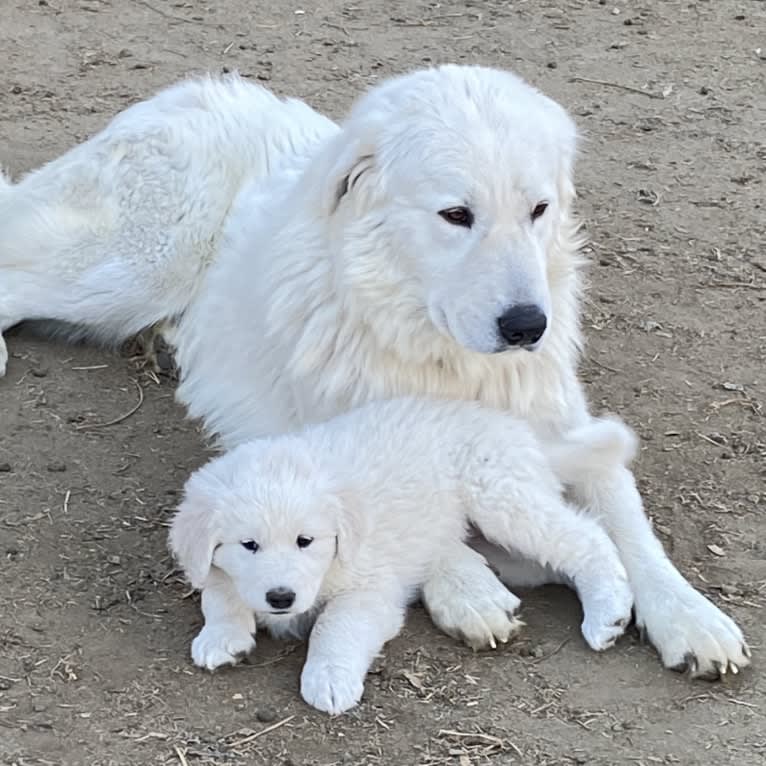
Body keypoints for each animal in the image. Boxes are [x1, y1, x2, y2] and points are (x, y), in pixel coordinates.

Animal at [0, 66, 748, 680]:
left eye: (539, 210)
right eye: (456, 214)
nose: (526, 326)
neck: (439, 353)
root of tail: (191, 93)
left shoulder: (563, 424)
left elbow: (628, 519)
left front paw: (689, 616)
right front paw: (471, 589)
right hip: (132, 269)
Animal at [171, 400, 640, 716]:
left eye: (306, 541)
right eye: (248, 545)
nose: (281, 597)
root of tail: (516, 430)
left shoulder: (371, 589)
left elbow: (334, 625)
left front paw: (329, 677)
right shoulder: (221, 569)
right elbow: (218, 593)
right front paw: (221, 637)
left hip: (502, 500)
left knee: (588, 537)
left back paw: (608, 612)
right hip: (505, 540)